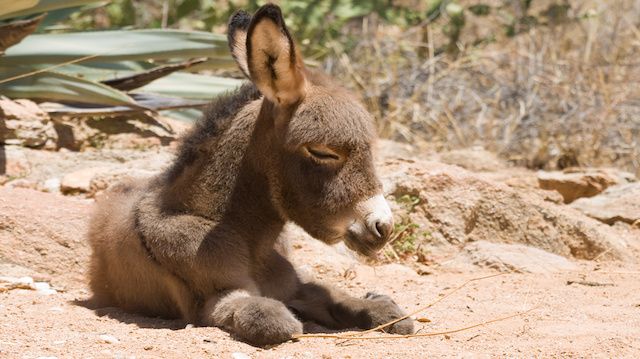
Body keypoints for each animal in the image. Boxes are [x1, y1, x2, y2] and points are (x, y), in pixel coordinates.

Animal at [86, 4, 416, 348]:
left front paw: (378, 307)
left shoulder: (296, 286)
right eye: (323, 151)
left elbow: (363, 305)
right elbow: (272, 319)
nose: (383, 227)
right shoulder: (218, 298)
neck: (250, 241)